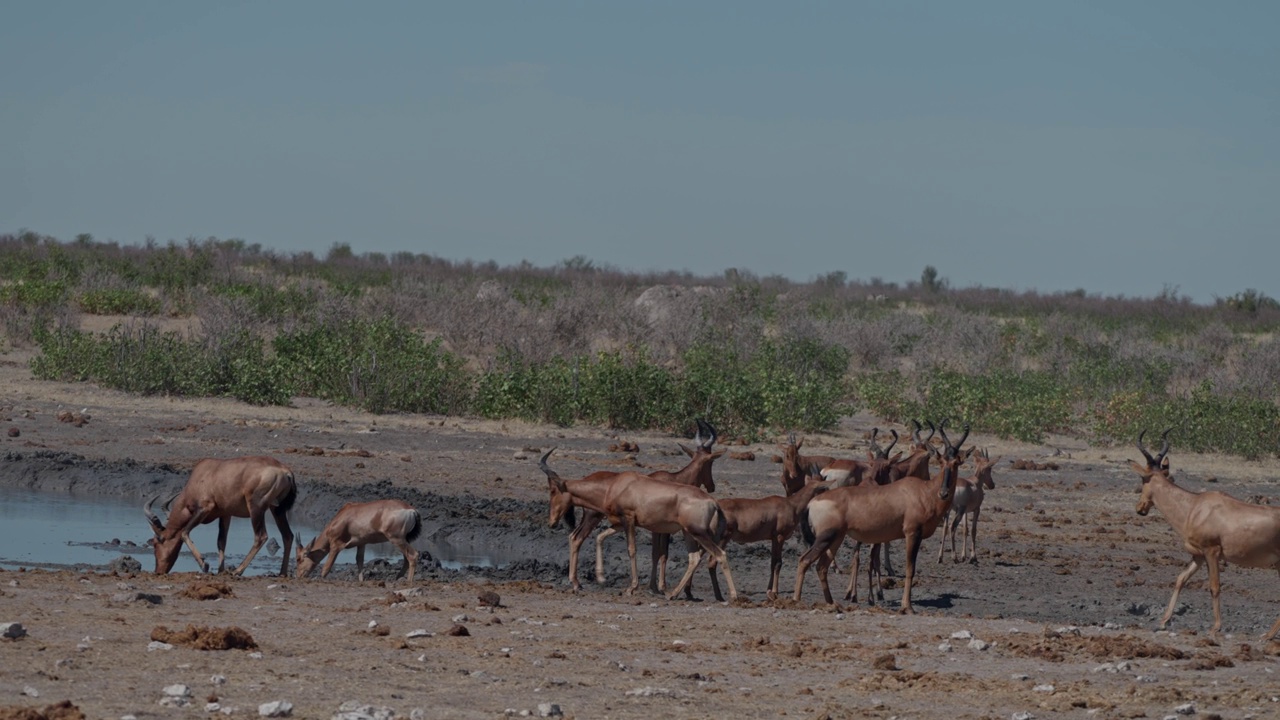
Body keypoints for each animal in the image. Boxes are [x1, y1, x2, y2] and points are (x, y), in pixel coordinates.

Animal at [144, 453, 295, 576]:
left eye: (157, 542)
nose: (158, 571)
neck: (203, 473)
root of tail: (285, 471)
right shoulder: (225, 514)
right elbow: (221, 541)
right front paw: (220, 570)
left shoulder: (205, 508)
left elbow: (184, 532)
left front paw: (204, 565)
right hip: (277, 509)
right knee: (288, 535)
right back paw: (282, 573)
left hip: (256, 508)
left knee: (261, 536)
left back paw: (238, 571)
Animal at [788, 420, 967, 609]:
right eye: (940, 461)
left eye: (956, 463)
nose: (944, 493)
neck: (921, 491)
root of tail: (813, 502)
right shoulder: (912, 533)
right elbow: (908, 568)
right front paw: (906, 606)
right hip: (825, 537)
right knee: (804, 560)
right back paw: (797, 600)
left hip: (835, 538)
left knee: (821, 566)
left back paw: (832, 602)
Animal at [1131, 427, 1280, 635]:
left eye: (1143, 478)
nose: (1140, 508)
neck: (1195, 506)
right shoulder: (1199, 555)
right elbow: (1180, 579)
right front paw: (1163, 621)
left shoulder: (1212, 552)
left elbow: (1214, 586)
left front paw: (1216, 627)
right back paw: (1268, 635)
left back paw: (1267, 635)